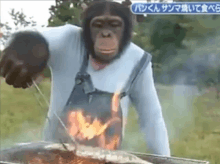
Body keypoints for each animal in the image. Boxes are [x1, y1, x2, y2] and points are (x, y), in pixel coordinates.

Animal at [0, 0, 171, 155]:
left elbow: (150, 115)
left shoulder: (145, 67)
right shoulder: (67, 35)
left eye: (115, 24)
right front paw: (22, 58)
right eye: (98, 24)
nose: (106, 34)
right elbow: (41, 34)